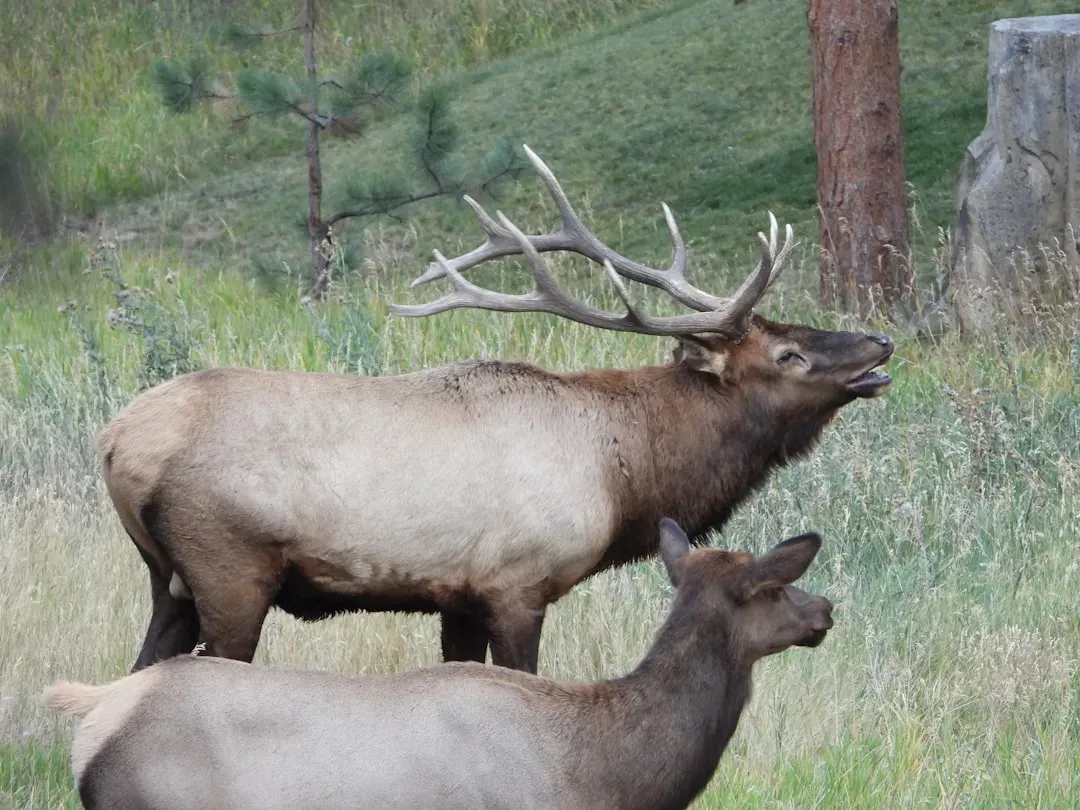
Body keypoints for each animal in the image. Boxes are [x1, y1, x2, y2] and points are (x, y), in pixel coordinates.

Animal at [97, 145, 892, 675]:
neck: (625, 476)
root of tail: (115, 443)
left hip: (166, 580)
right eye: (787, 355)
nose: (879, 343)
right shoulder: (518, 584)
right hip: (229, 566)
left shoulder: (459, 597)